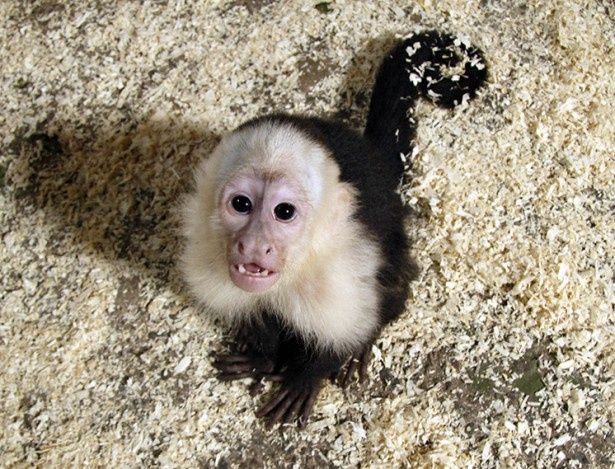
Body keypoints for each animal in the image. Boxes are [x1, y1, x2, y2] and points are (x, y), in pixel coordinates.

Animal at [180, 31, 488, 428]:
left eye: (284, 212)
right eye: (241, 204)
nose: (254, 244)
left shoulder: (337, 270)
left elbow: (343, 330)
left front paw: (305, 376)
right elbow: (255, 313)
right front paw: (263, 356)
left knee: (392, 281)